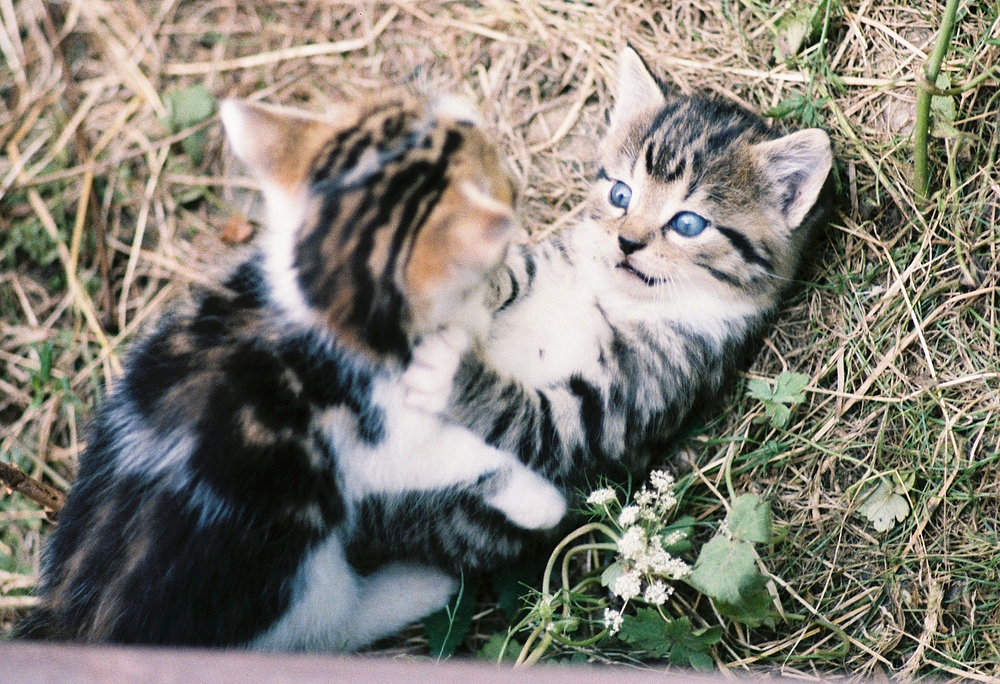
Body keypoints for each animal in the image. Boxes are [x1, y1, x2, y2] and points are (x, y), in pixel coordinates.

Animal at [23, 93, 568, 648]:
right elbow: (460, 458)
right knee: (336, 626)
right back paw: (420, 587)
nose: (516, 185)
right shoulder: (376, 442)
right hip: (296, 576)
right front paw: (539, 499)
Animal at [352, 45, 836, 572]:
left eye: (688, 224)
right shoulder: (550, 261)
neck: (612, 295)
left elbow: (531, 420)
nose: (627, 241)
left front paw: (451, 370)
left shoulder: (632, 396)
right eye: (620, 194)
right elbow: (510, 272)